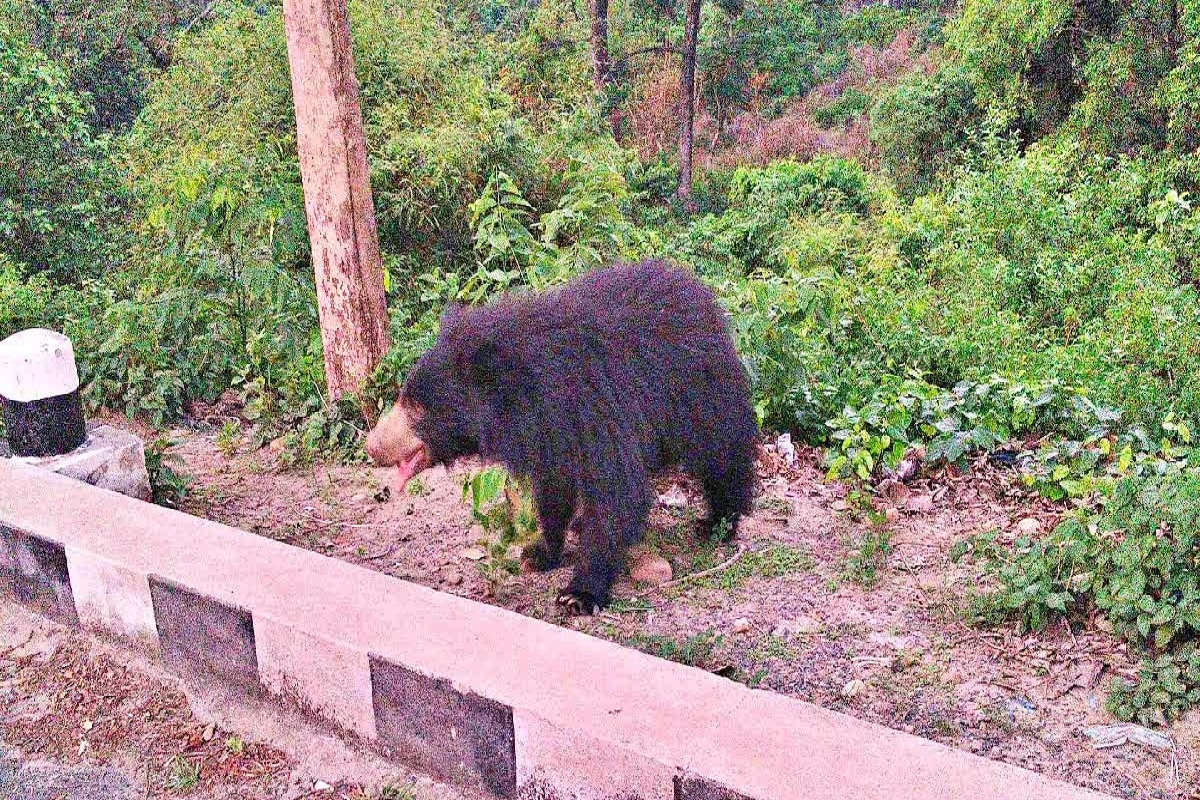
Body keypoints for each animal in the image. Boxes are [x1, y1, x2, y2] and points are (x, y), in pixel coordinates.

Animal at [367, 260, 758, 618]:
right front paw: (540, 552)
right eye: (404, 396)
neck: (529, 394)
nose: (372, 447)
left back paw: (719, 521)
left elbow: (615, 491)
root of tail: (700, 292)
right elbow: (553, 488)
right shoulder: (551, 434)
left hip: (700, 391)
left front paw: (579, 593)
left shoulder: (595, 406)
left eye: (417, 407)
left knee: (721, 453)